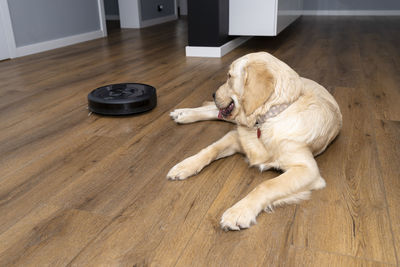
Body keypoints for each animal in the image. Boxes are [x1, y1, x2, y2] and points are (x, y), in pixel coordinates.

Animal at [167, 52, 342, 232]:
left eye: (229, 76)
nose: (213, 94)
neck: (265, 120)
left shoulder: (308, 170)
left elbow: (266, 185)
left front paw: (239, 212)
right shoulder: (235, 137)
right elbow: (210, 149)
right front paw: (185, 165)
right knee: (213, 111)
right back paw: (183, 113)